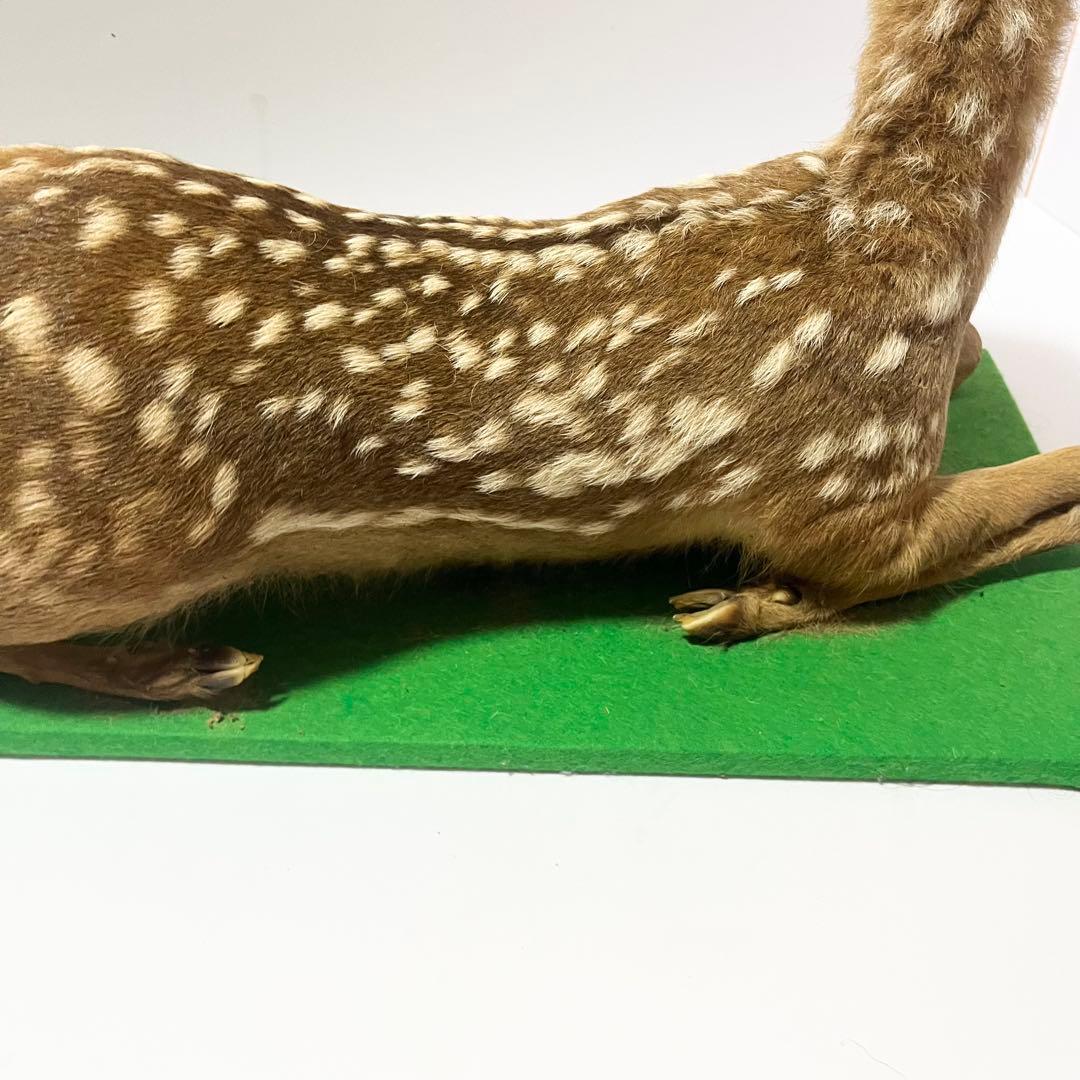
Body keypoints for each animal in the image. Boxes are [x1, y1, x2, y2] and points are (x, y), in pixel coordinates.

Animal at [0, 0, 1076, 701]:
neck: (889, 223)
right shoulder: (852, 488)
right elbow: (1011, 508)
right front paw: (746, 602)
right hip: (108, 546)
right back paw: (187, 667)